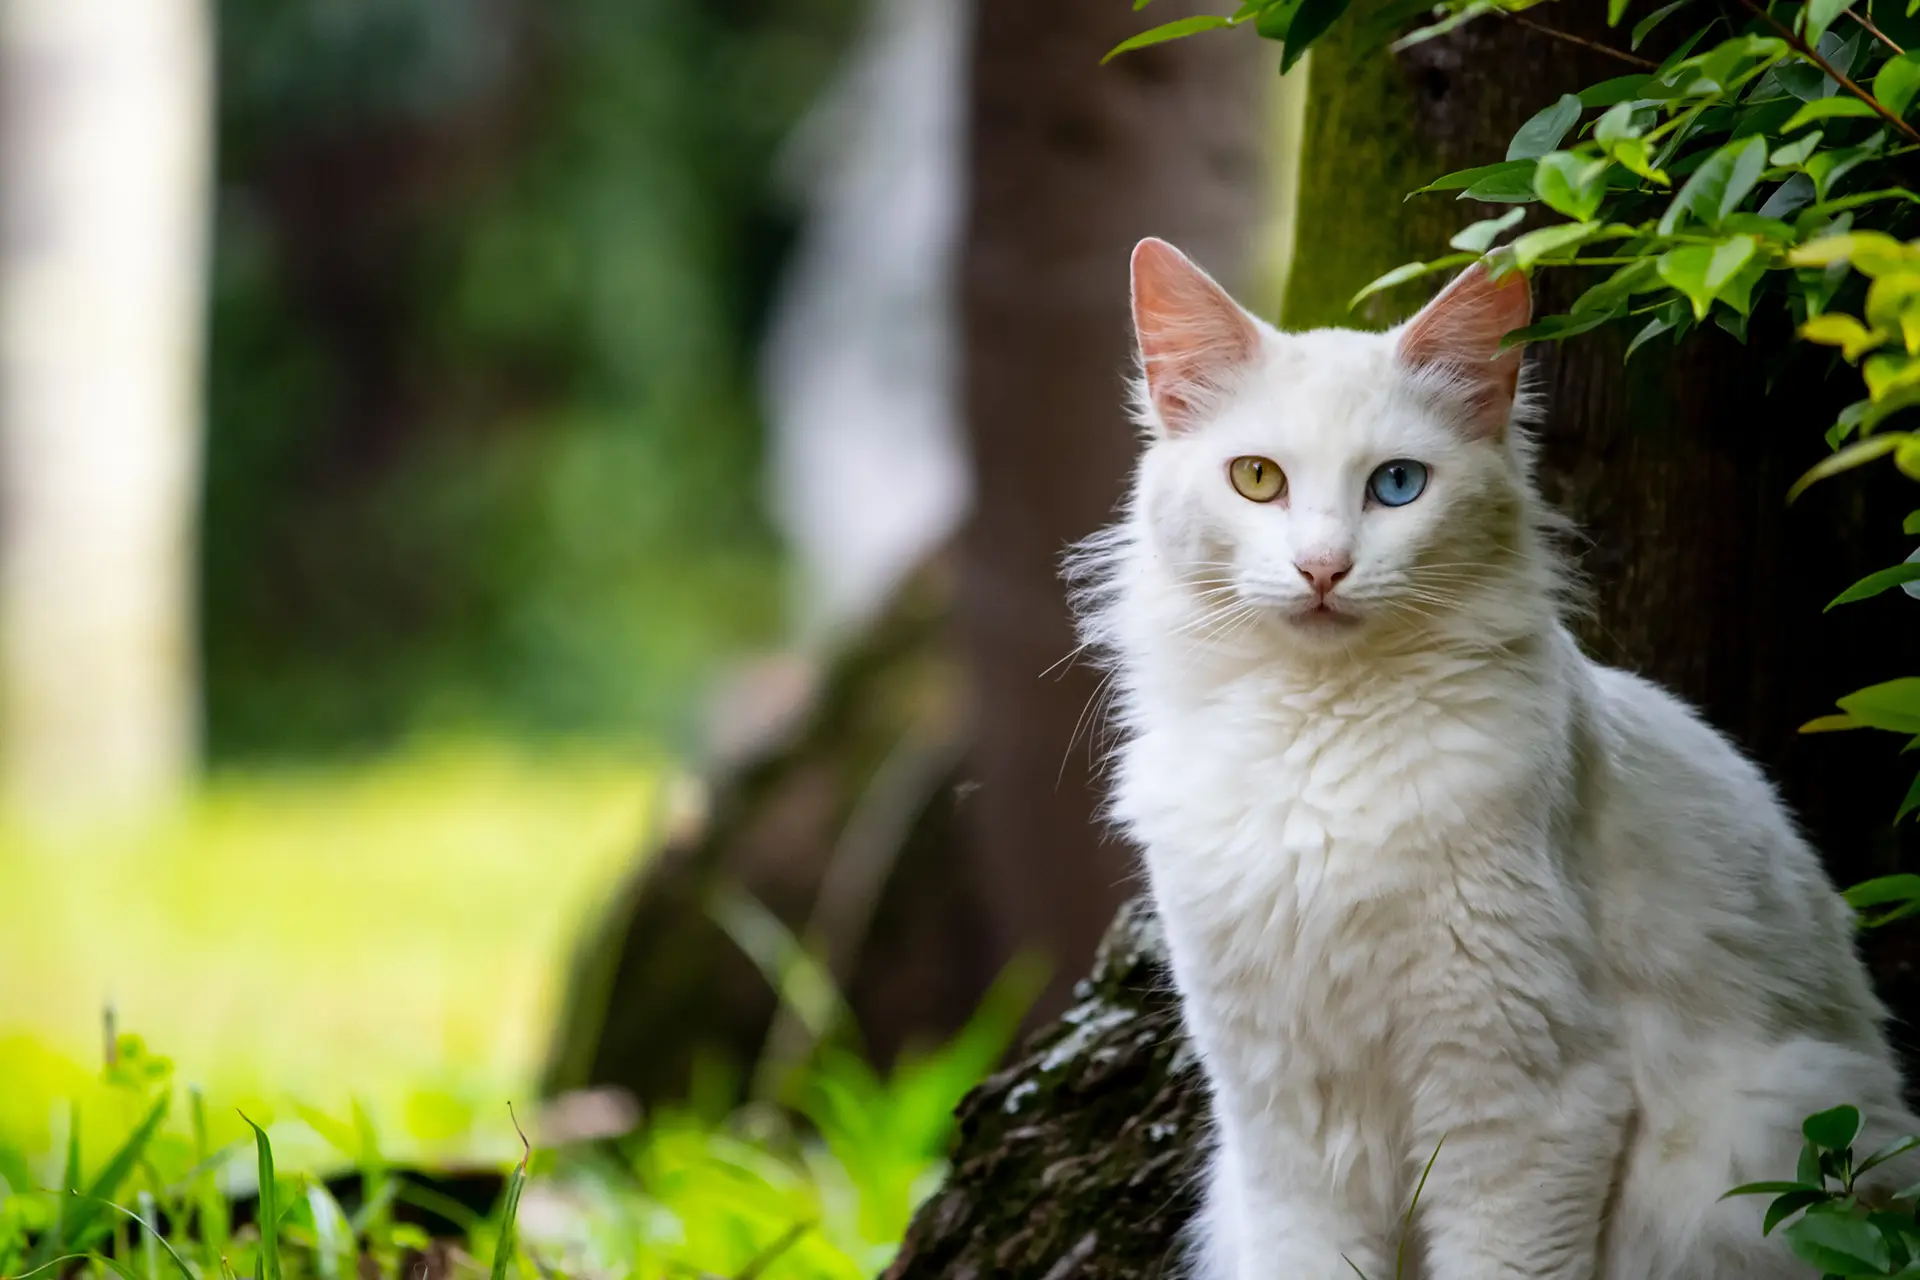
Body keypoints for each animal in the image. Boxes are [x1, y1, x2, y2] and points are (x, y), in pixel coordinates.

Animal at [1075, 239, 1912, 1280]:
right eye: (1258, 479)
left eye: (1397, 485)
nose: (1322, 569)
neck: (1318, 737)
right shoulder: (1283, 1123)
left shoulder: (1521, 1102)